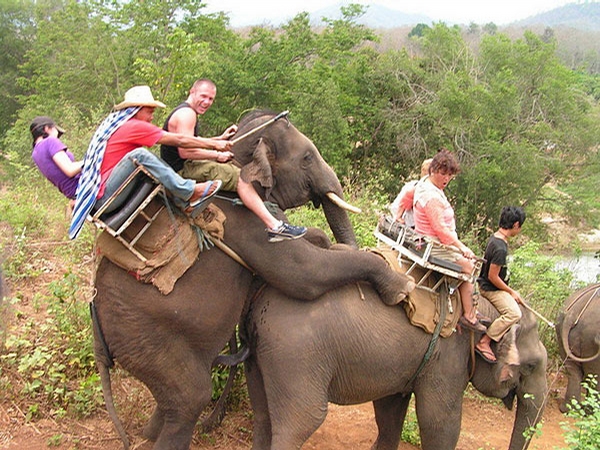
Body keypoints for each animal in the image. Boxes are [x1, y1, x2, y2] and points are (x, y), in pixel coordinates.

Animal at [94, 110, 414, 450]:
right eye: (307, 158)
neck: (239, 152)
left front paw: (323, 240)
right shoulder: (247, 220)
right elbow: (303, 273)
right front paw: (401, 289)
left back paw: (151, 434)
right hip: (146, 336)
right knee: (190, 398)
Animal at [244, 260, 548, 450]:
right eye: (531, 366)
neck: (481, 306)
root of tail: (259, 301)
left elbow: (390, 410)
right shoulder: (448, 360)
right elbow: (440, 422)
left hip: (264, 356)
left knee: (263, 415)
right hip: (298, 357)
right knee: (302, 421)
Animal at [556, 284, 596, 414]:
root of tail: (572, 313)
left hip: (561, 330)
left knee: (572, 369)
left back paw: (569, 409)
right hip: (591, 338)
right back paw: (590, 412)